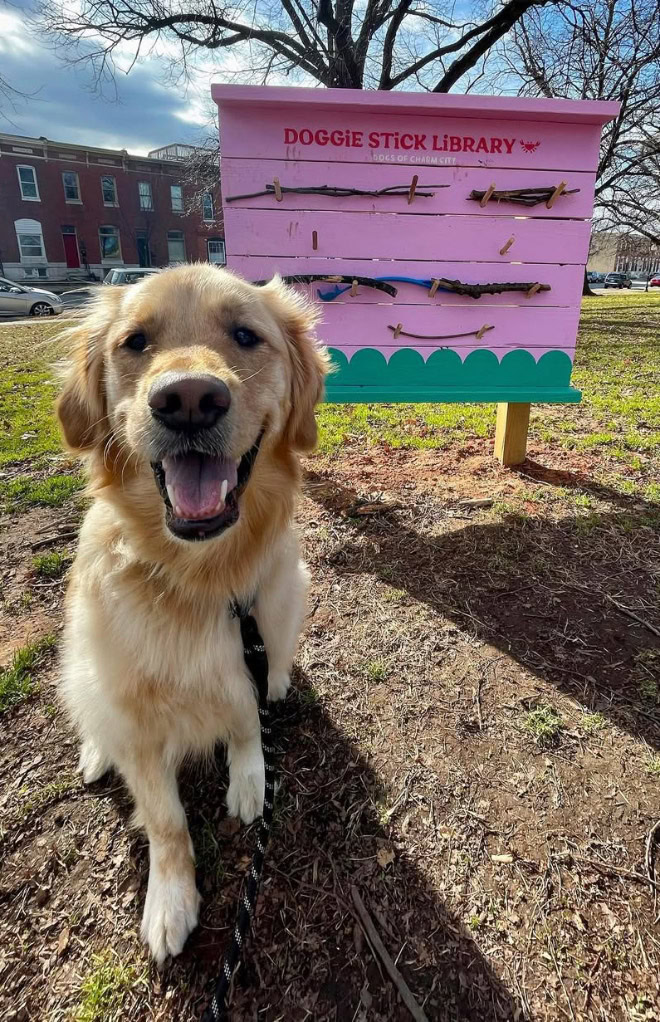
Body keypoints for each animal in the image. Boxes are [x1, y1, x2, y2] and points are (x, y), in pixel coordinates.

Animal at [56, 265, 328, 964]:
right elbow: (166, 821)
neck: (203, 576)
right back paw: (95, 751)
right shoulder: (139, 724)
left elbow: (247, 722)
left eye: (246, 335)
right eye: (135, 342)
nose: (188, 400)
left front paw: (250, 777)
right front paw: (170, 900)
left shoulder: (253, 652)